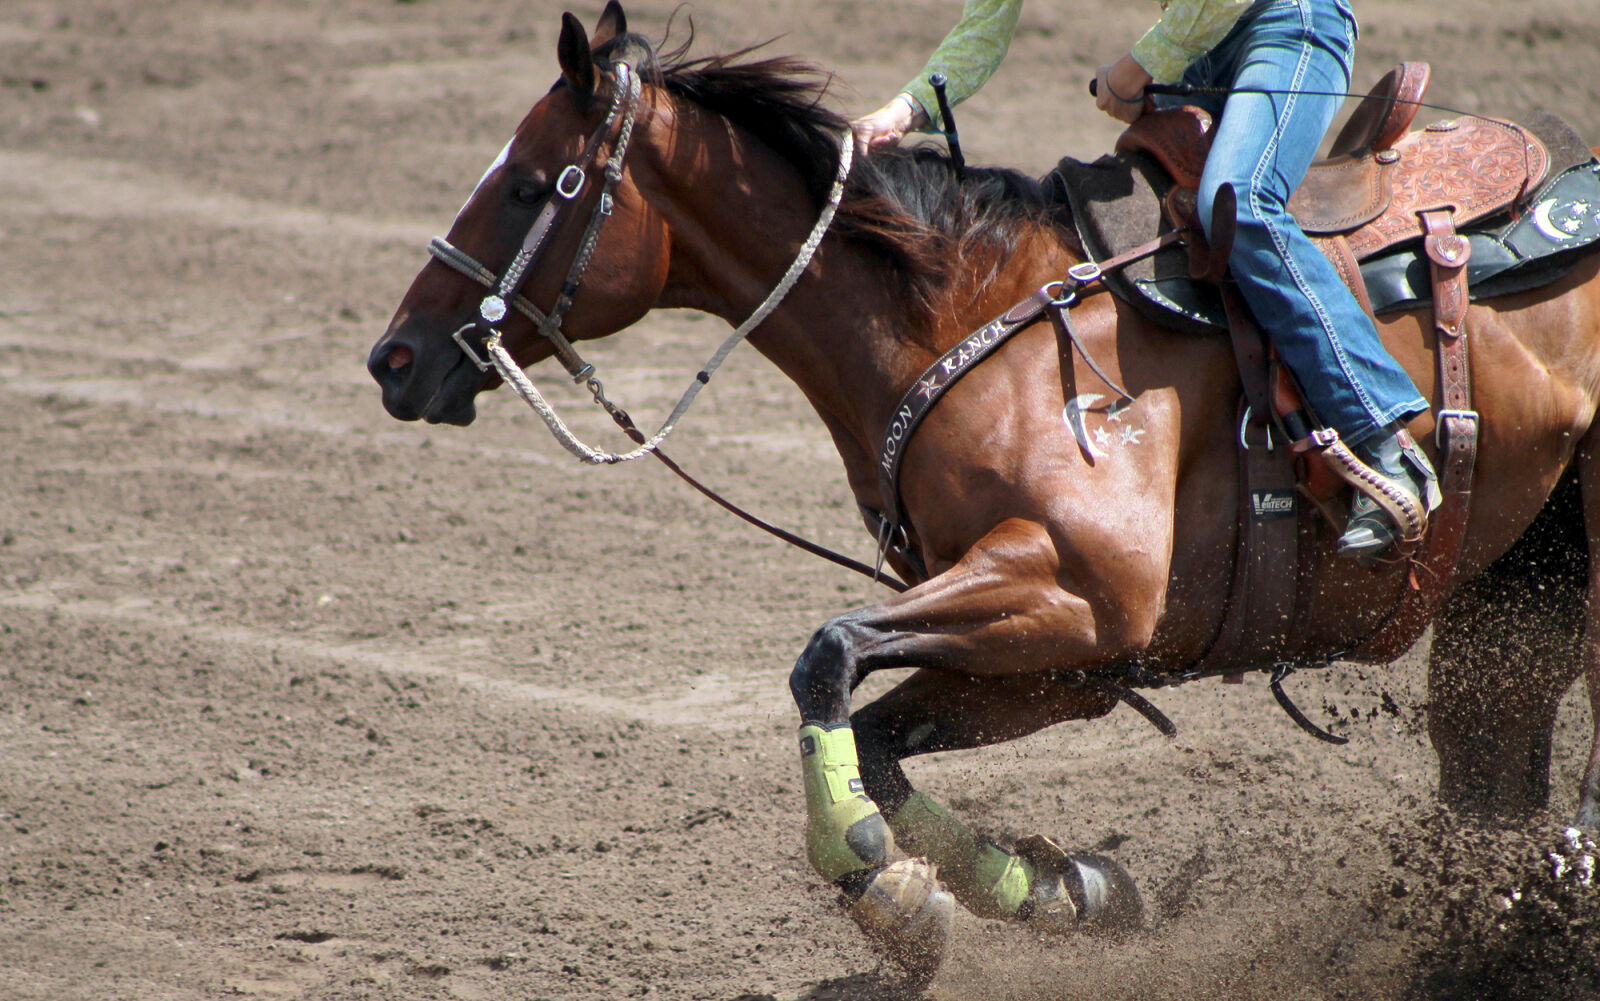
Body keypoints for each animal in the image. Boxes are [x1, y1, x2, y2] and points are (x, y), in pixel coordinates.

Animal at [367, 2, 1600, 980]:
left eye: (534, 183)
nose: (393, 358)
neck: (959, 315)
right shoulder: (1065, 665)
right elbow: (876, 737)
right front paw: (1065, 890)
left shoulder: (1076, 595)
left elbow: (826, 654)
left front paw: (886, 889)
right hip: (1521, 578)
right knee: (1494, 746)